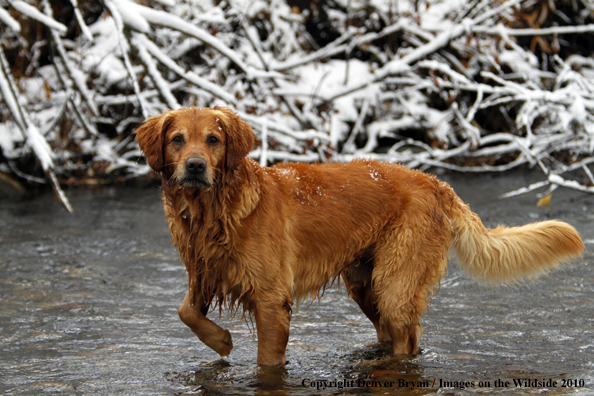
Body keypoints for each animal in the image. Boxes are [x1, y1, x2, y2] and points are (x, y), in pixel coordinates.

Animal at [133, 106, 580, 366]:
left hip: (395, 282)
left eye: (214, 139)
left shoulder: (272, 299)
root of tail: (435, 182)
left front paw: (226, 344)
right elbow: (185, 311)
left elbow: (267, 361)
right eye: (177, 139)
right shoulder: (204, 272)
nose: (194, 166)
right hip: (366, 283)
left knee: (408, 338)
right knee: (390, 331)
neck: (215, 212)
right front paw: (222, 341)